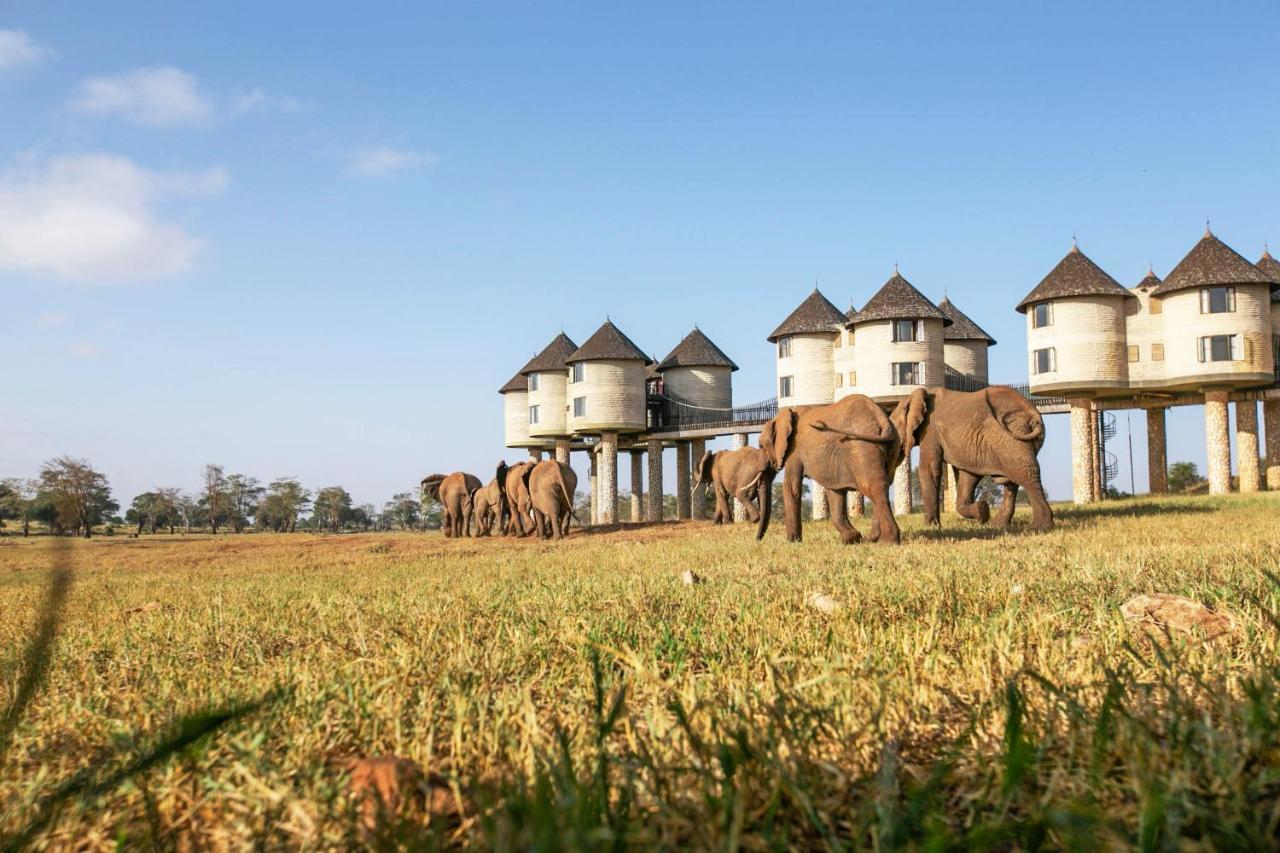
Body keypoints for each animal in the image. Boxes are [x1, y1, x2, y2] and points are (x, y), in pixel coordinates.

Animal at [752, 394, 906, 545]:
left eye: (761, 446)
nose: (758, 540)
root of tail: (884, 423)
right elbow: (835, 491)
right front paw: (851, 539)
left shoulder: (794, 451)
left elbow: (792, 488)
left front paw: (792, 542)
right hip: (891, 447)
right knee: (884, 485)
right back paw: (873, 539)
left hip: (863, 447)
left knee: (873, 487)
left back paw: (888, 541)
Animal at [890, 386, 1049, 532]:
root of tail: (1033, 412)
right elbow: (967, 476)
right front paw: (982, 512)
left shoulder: (930, 430)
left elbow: (929, 469)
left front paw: (931, 526)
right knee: (1012, 480)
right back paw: (997, 525)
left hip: (1014, 436)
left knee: (1026, 474)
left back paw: (1040, 527)